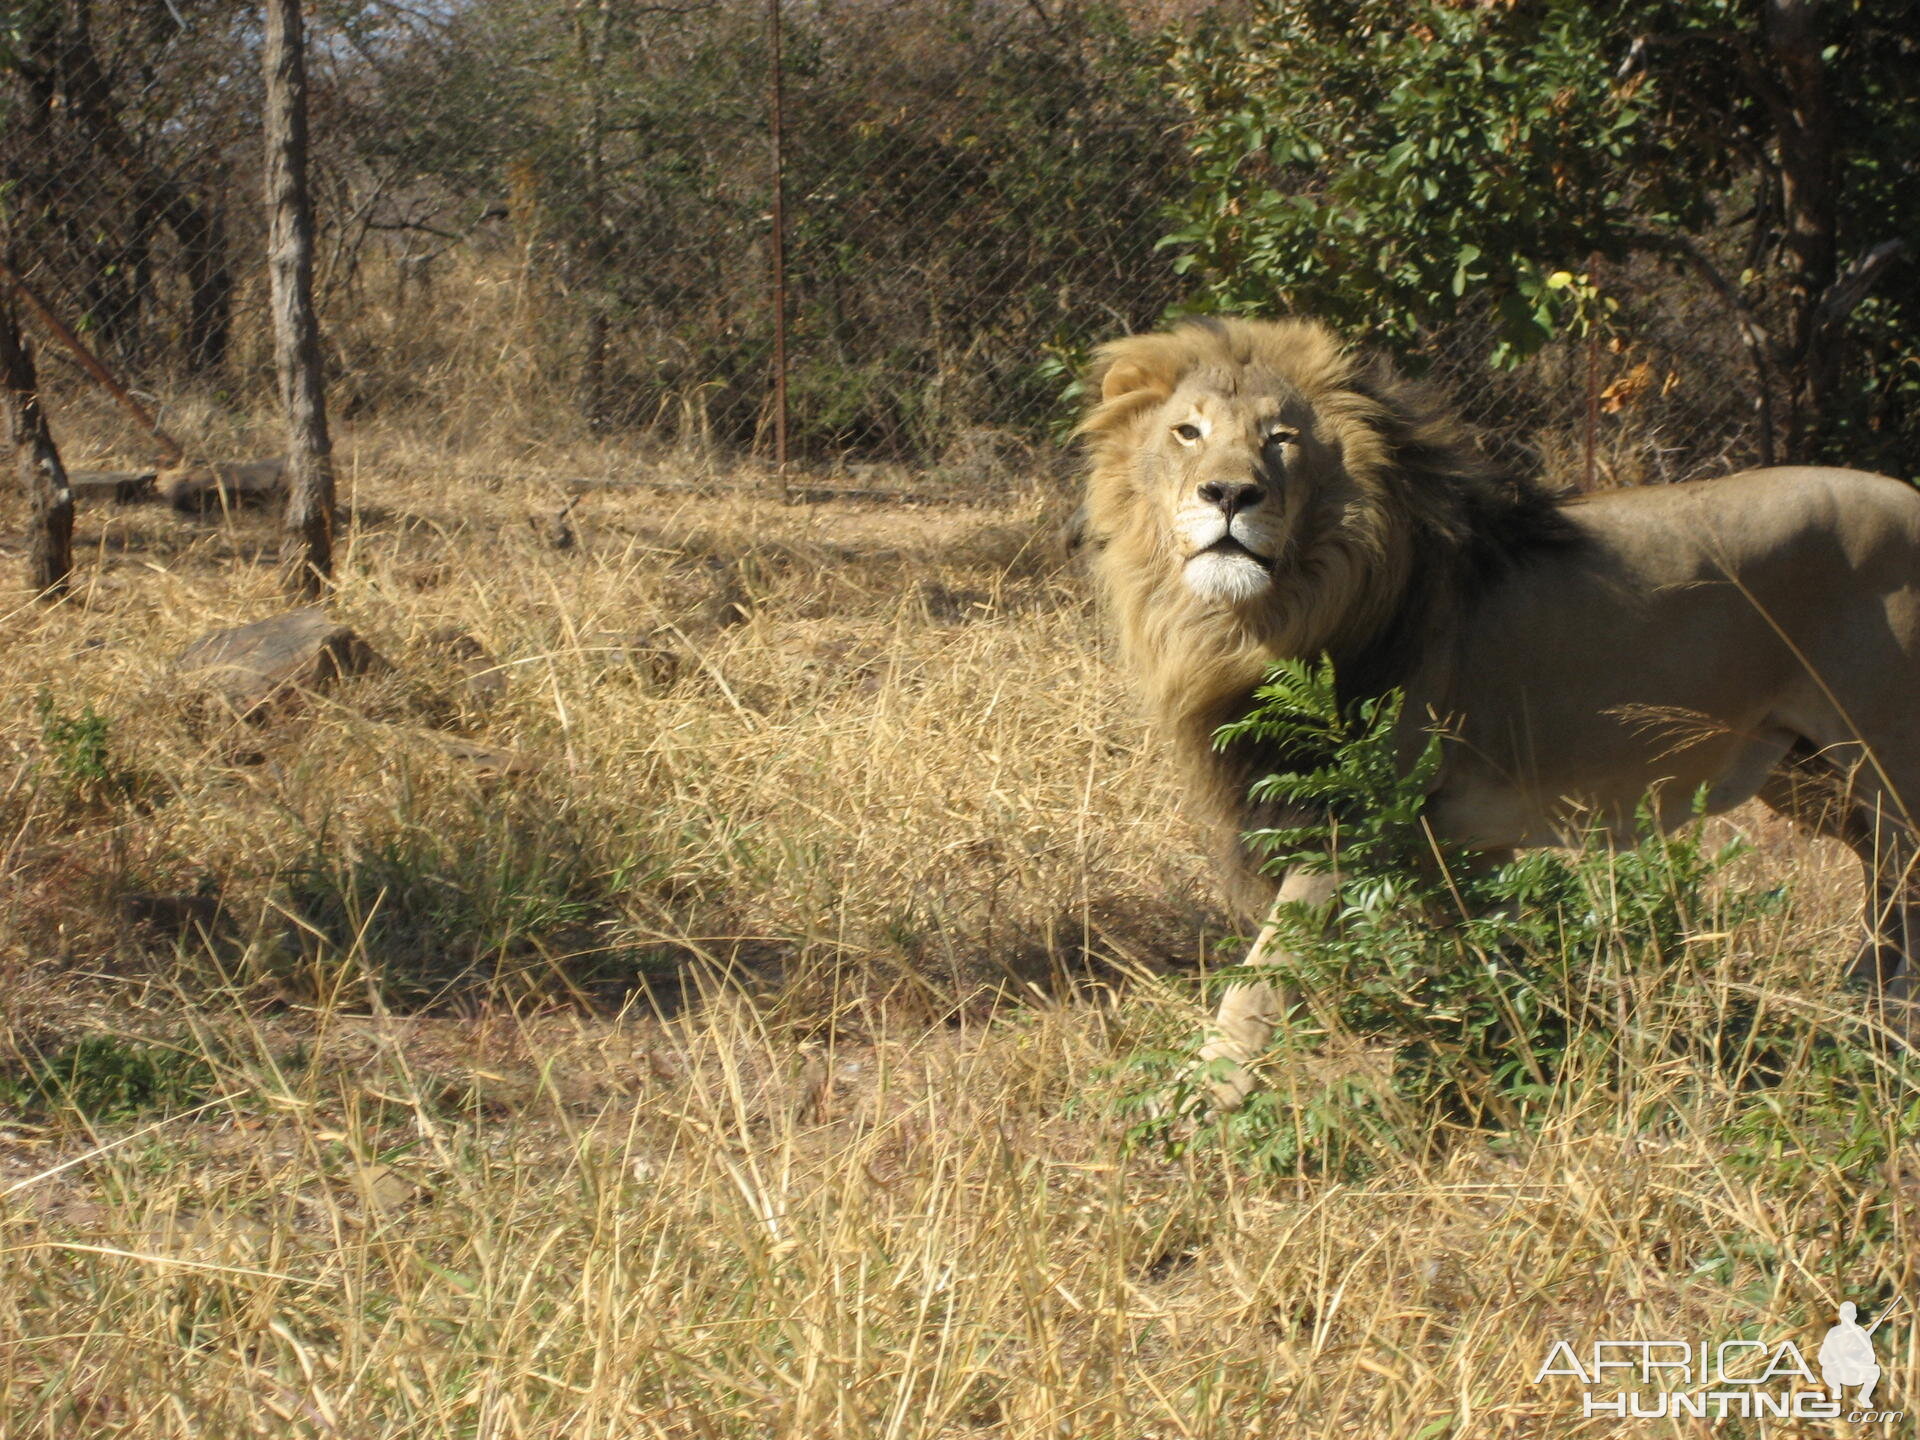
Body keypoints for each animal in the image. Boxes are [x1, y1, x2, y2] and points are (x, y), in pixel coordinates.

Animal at [1082, 314, 1920, 1113]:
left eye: (1279, 438)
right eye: (1187, 432)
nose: (1228, 495)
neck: (1262, 619)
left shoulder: (1349, 821)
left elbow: (1262, 979)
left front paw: (1195, 1104)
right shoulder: (1456, 841)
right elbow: (1499, 958)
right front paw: (1543, 1057)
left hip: (1886, 763)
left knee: (1902, 887)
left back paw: (1879, 1033)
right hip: (1805, 771)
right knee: (1881, 886)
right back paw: (1857, 1018)